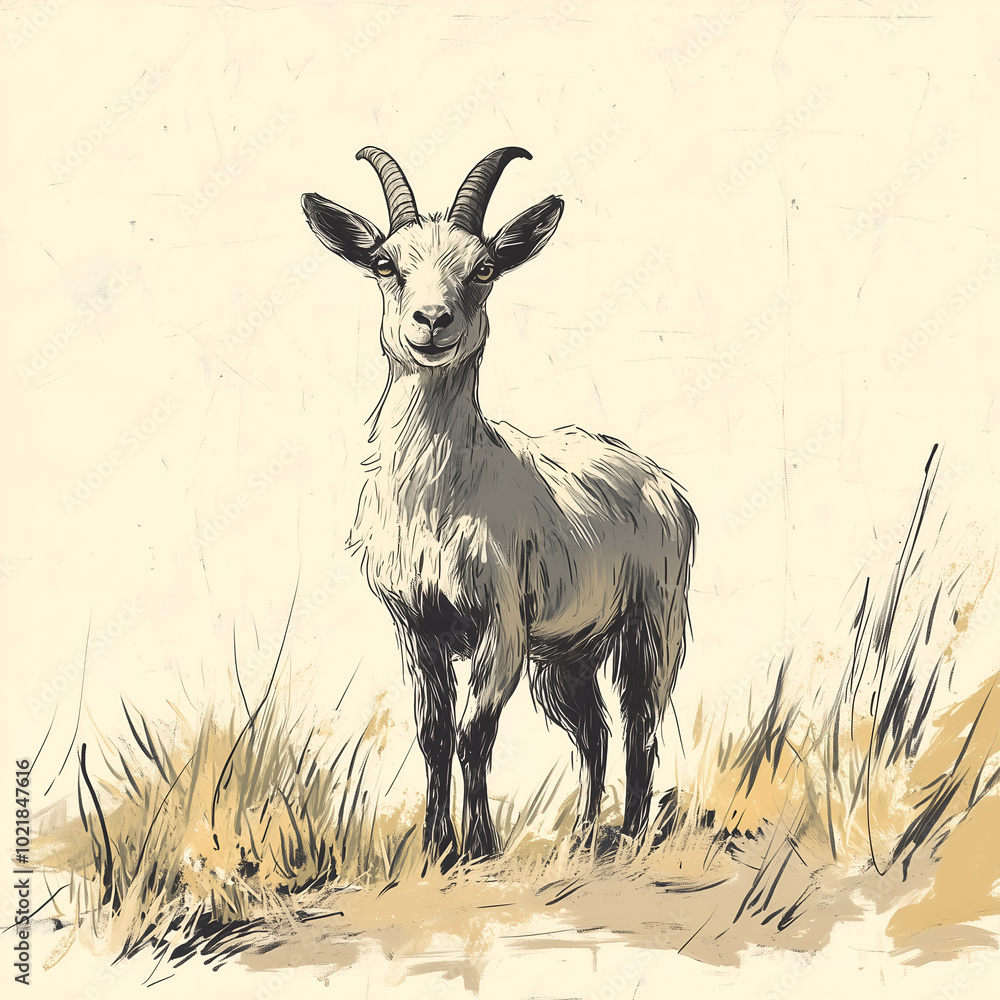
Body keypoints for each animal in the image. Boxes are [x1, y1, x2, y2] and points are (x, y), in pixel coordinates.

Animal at [302, 147, 696, 865]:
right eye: (385, 264)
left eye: (482, 267)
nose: (432, 322)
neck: (436, 501)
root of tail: (663, 486)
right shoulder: (417, 628)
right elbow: (433, 733)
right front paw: (436, 847)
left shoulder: (502, 625)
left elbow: (474, 733)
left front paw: (480, 847)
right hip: (568, 654)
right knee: (593, 730)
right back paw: (583, 837)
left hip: (653, 623)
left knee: (640, 721)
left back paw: (630, 835)